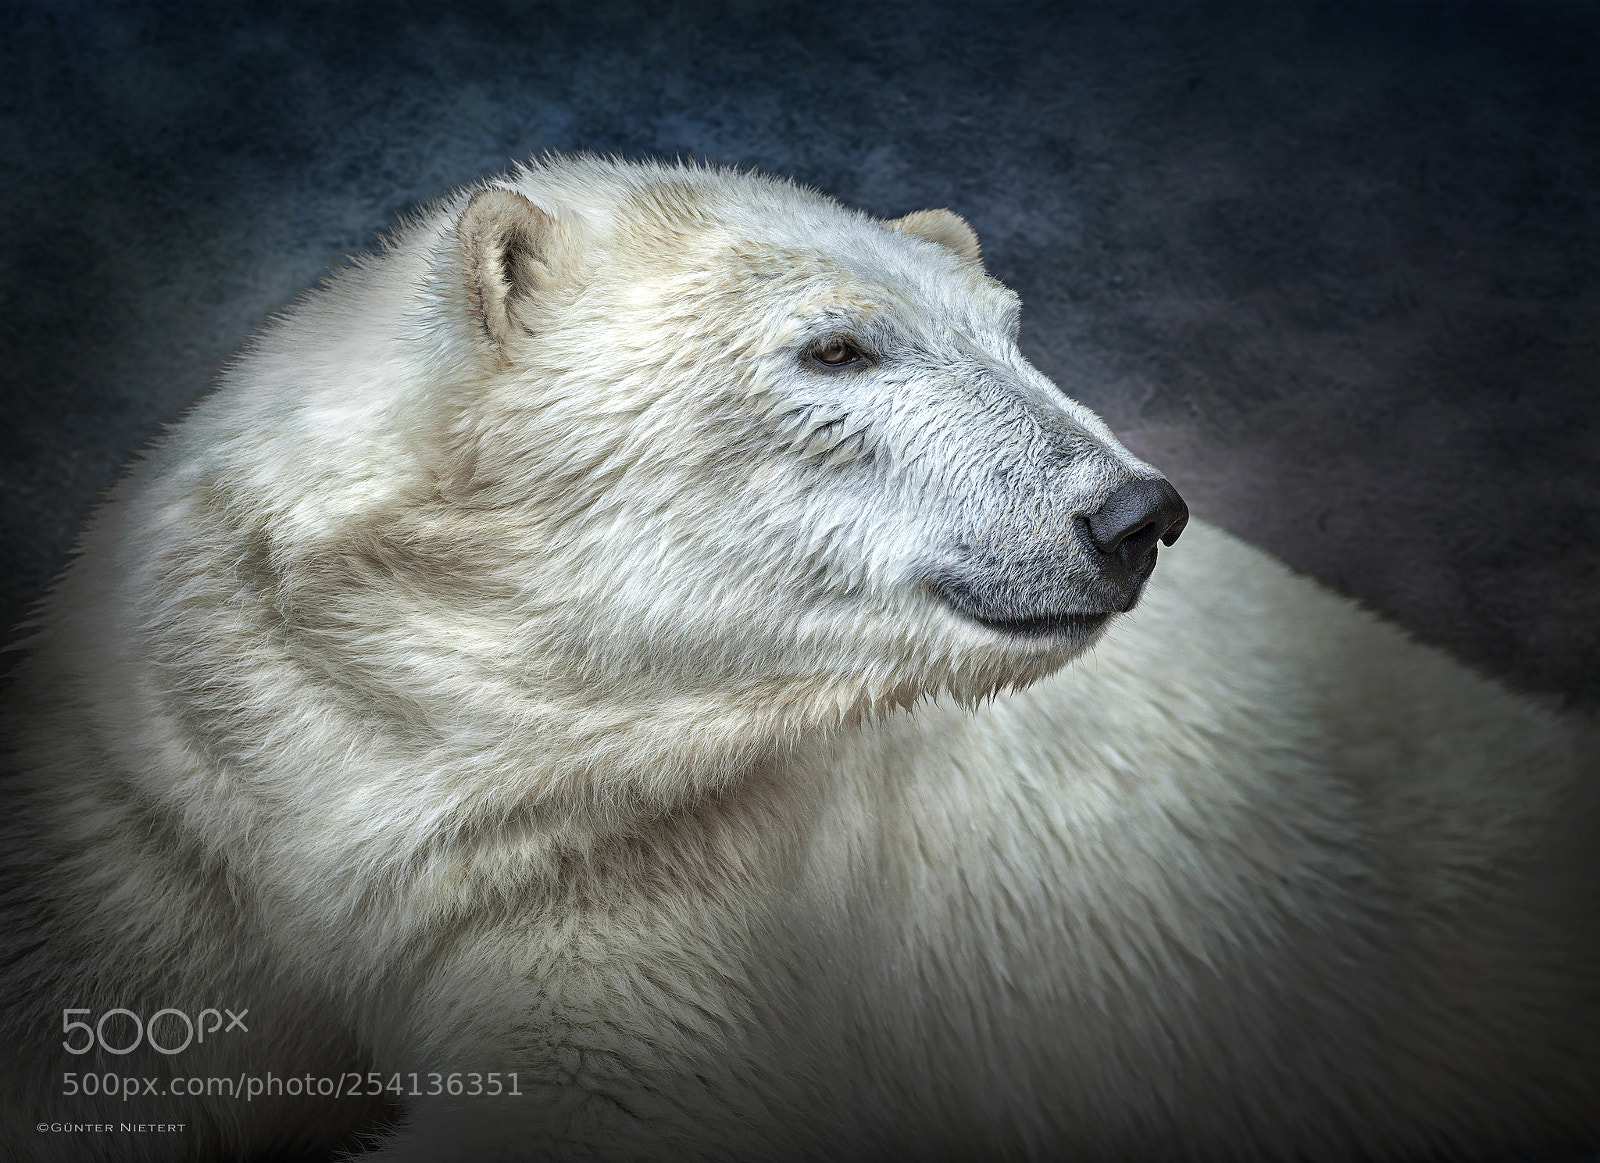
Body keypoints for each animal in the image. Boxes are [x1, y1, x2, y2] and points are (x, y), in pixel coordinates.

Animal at [1, 154, 1596, 1162]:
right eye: (836, 349)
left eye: (1011, 332)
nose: (1133, 512)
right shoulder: (155, 786)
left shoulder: (668, 861)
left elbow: (601, 1104)